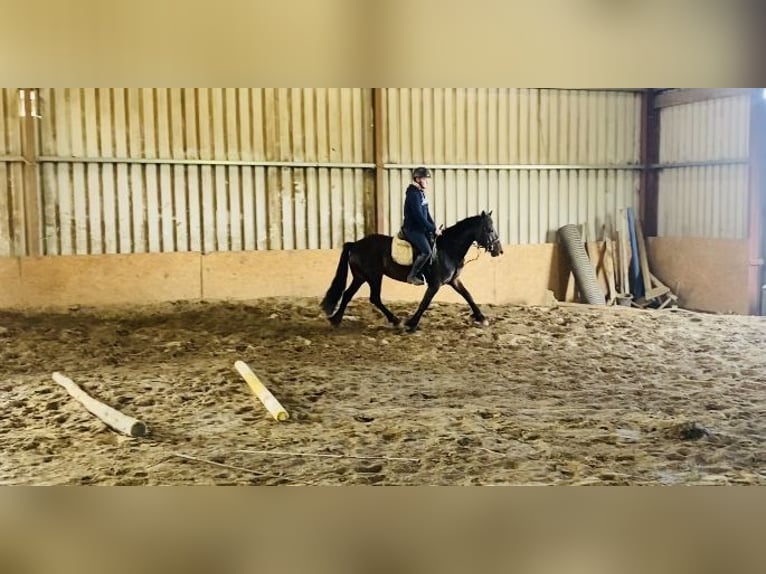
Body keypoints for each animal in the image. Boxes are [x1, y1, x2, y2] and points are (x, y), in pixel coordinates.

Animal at [318, 212, 504, 332]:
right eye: (489, 229)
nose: (499, 250)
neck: (448, 249)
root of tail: (355, 244)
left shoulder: (453, 281)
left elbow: (468, 296)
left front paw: (482, 318)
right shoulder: (435, 284)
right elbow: (424, 303)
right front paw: (412, 323)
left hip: (360, 277)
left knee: (348, 294)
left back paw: (335, 320)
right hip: (374, 276)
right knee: (374, 298)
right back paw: (396, 321)